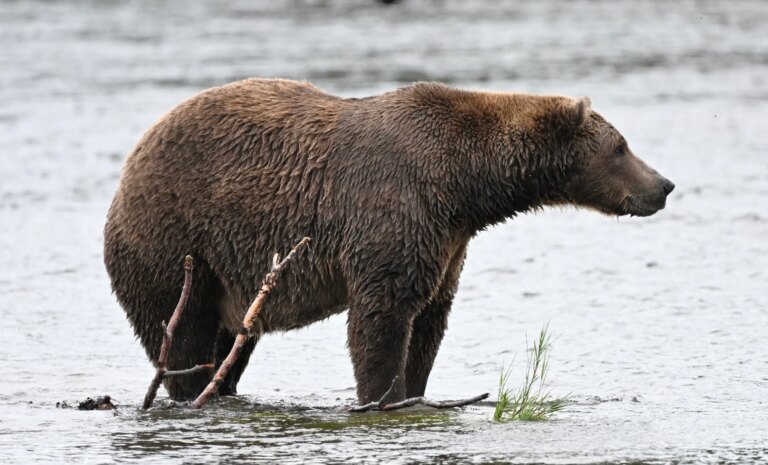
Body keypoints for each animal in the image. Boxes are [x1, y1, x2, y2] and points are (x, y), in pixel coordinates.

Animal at [104, 78, 674, 404]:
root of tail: (128, 170)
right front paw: (383, 394)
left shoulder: (447, 241)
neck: (465, 184)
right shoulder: (393, 211)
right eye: (622, 146)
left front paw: (415, 391)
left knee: (231, 345)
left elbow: (429, 320)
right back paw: (189, 390)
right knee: (182, 334)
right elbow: (383, 317)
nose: (664, 185)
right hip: (175, 241)